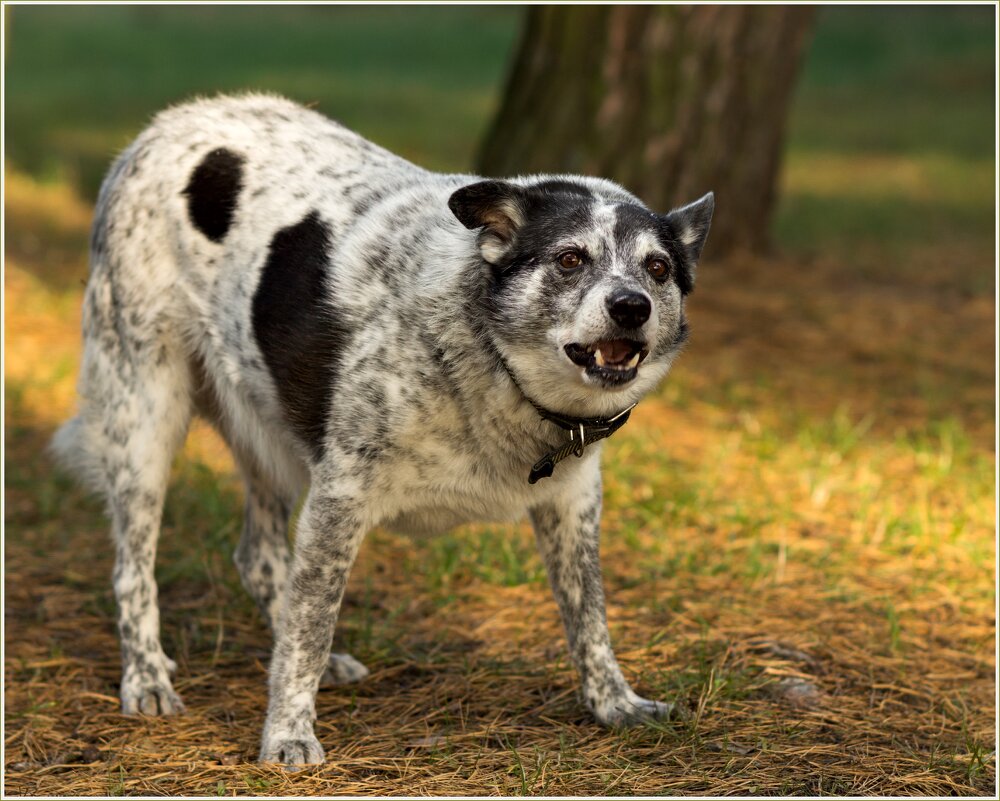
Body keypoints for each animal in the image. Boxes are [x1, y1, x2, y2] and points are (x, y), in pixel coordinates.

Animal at [52, 94, 712, 764]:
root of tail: (164, 124)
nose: (632, 307)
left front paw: (615, 704)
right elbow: (310, 628)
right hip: (145, 416)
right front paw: (288, 735)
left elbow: (590, 615)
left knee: (257, 557)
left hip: (270, 430)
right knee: (133, 569)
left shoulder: (573, 501)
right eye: (570, 258)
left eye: (658, 268)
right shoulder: (339, 496)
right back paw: (146, 676)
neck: (486, 353)